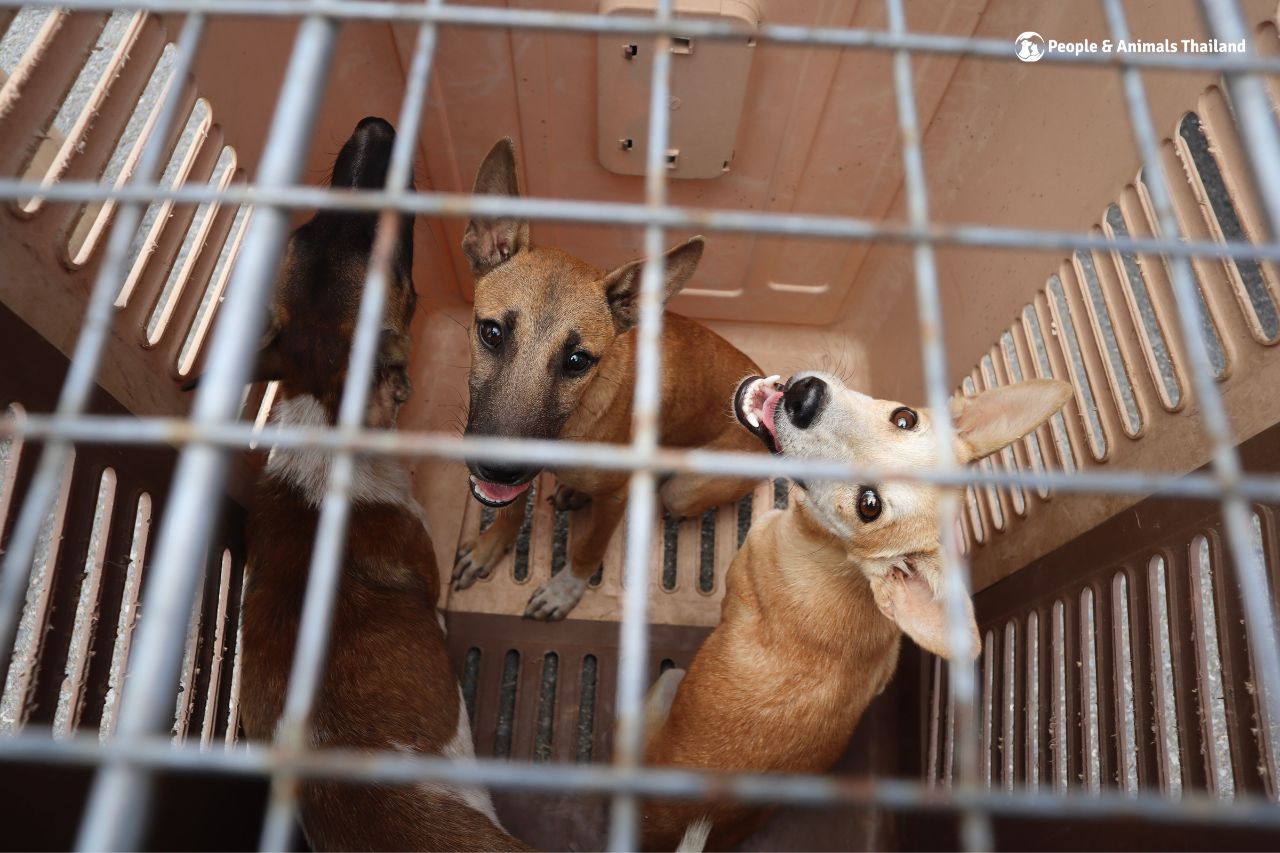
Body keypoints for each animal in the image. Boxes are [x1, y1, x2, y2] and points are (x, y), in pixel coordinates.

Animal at [450, 137, 763, 621]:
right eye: (491, 332)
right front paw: (490, 547)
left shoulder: (614, 502)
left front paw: (565, 589)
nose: (498, 468)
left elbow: (588, 548)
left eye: (578, 361)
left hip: (684, 491)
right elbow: (511, 508)